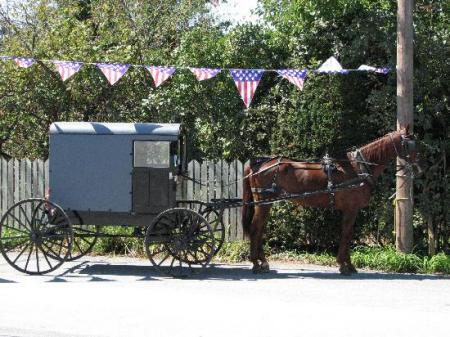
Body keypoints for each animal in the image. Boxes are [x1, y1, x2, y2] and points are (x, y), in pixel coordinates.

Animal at [243, 127, 422, 274]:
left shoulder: (349, 210)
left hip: (265, 204)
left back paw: (262, 262)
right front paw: (345, 265)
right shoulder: (351, 209)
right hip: (263, 203)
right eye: (410, 144)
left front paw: (346, 264)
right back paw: (256, 263)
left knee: (259, 230)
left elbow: (347, 234)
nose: (420, 167)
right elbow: (347, 234)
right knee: (255, 229)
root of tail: (258, 164)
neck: (358, 167)